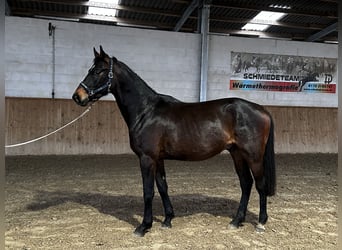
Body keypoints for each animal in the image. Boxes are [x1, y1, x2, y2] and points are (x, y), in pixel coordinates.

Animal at [71, 46, 276, 236]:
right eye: (91, 69)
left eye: (99, 71)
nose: (77, 96)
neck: (146, 111)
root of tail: (262, 110)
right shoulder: (158, 159)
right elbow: (162, 187)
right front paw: (168, 219)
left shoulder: (147, 158)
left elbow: (148, 192)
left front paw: (144, 226)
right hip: (237, 153)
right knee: (246, 183)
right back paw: (236, 220)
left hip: (253, 156)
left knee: (260, 185)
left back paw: (261, 223)